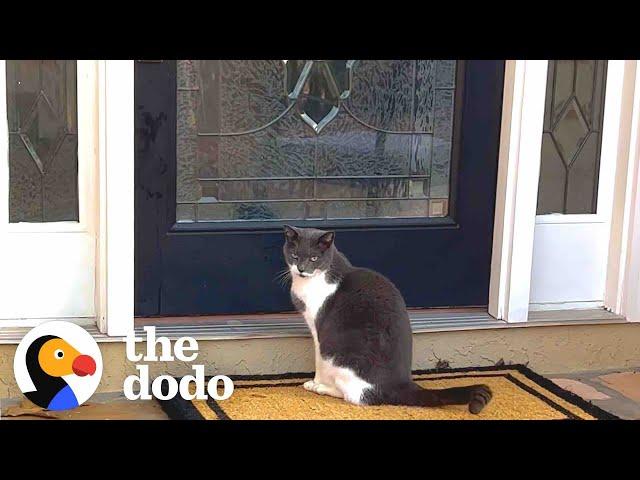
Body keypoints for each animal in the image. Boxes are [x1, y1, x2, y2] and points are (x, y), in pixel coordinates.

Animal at [282, 223, 492, 414]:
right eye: (295, 256)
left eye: (314, 258)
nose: (301, 269)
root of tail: (401, 384)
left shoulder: (319, 328)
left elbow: (318, 360)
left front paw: (316, 381)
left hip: (337, 353)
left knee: (355, 396)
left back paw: (320, 388)